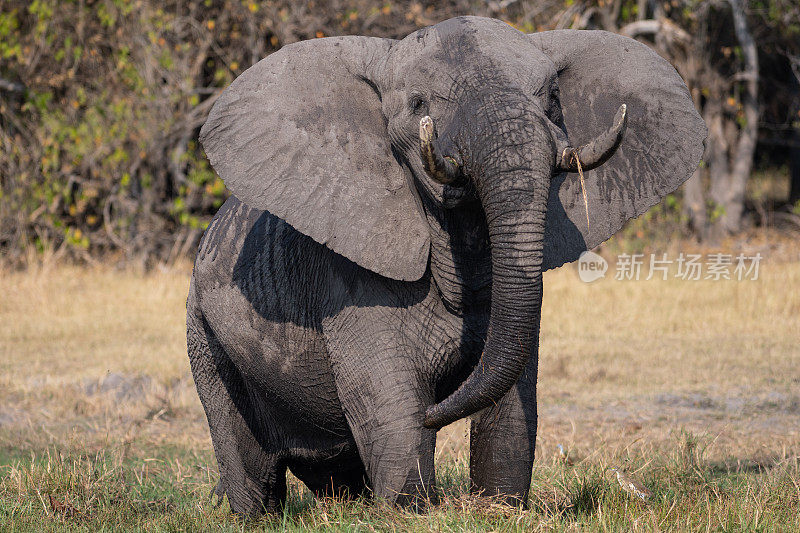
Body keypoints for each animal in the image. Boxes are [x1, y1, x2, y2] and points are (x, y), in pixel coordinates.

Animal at [188, 15, 708, 516]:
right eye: (418, 104)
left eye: (554, 98)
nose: (436, 413)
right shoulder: (348, 281)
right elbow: (391, 408)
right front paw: (412, 510)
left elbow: (511, 404)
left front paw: (499, 509)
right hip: (205, 335)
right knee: (252, 475)